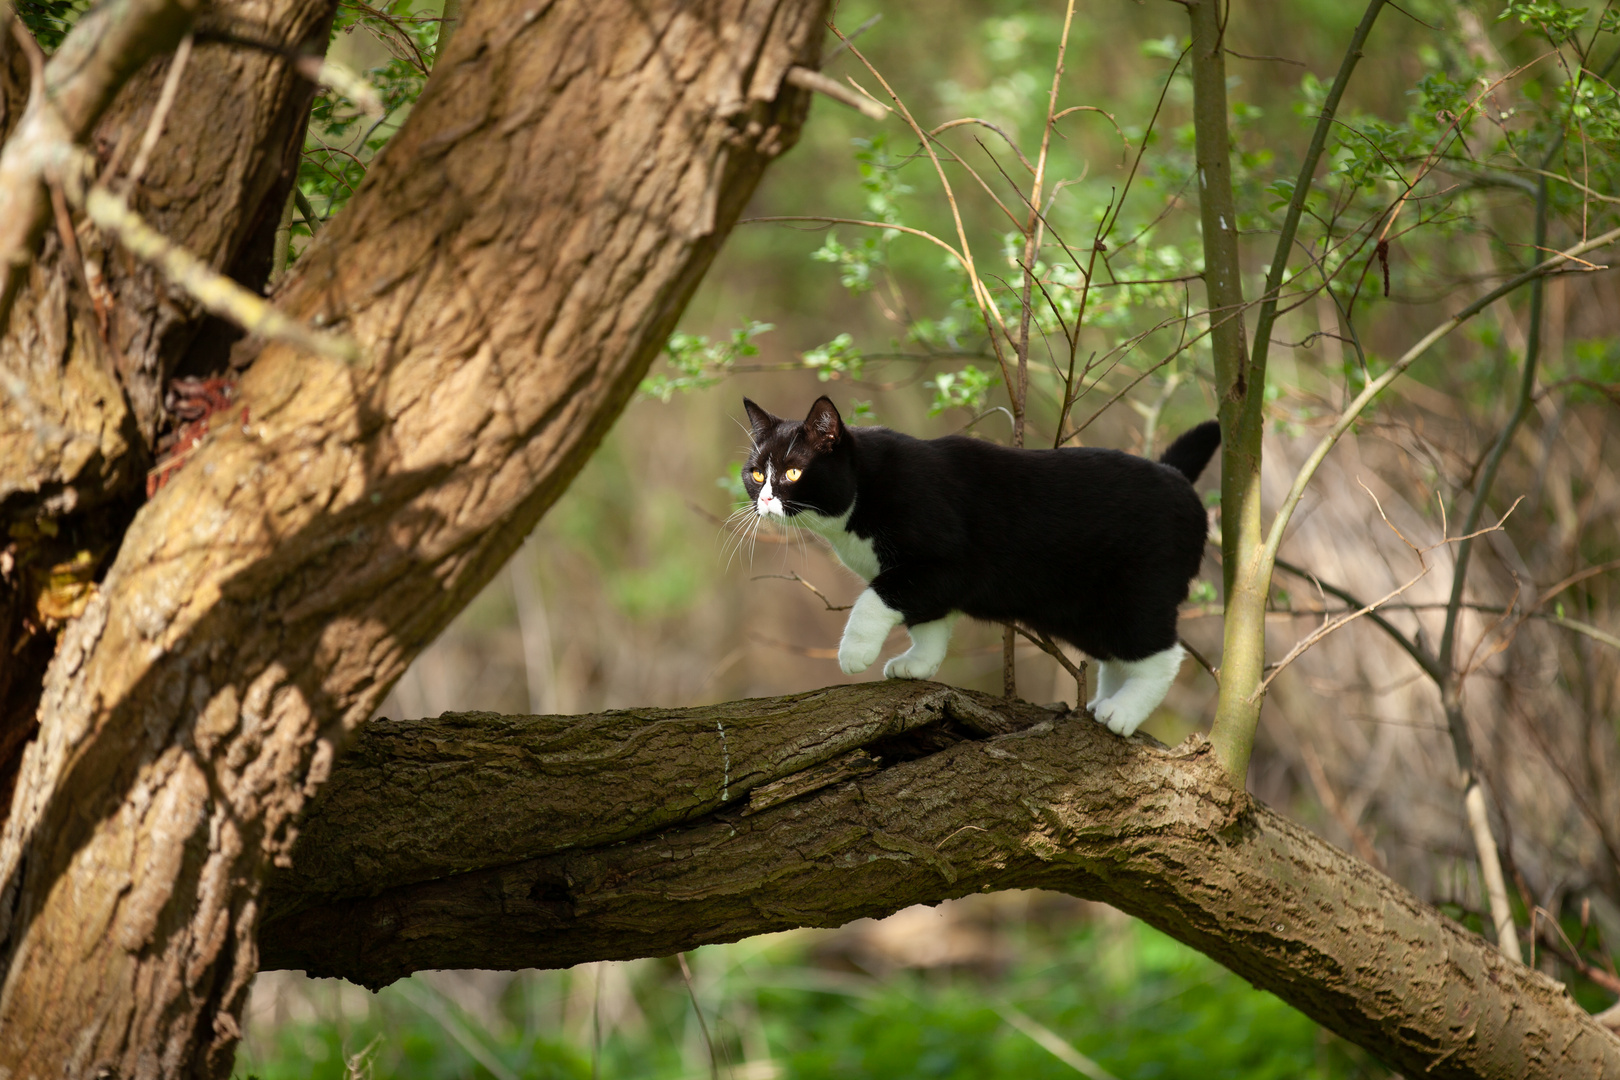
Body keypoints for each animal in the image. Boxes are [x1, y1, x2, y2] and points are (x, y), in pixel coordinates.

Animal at [741, 393, 1218, 738]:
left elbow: (873, 601)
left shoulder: (943, 563)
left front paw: (855, 652)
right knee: (1117, 656)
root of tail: (1175, 475)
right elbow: (928, 622)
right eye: (755, 473)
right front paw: (918, 664)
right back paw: (1106, 701)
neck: (864, 493)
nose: (765, 498)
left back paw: (1124, 712)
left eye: (793, 473)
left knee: (1163, 654)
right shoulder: (929, 586)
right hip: (1083, 614)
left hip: (1135, 594)